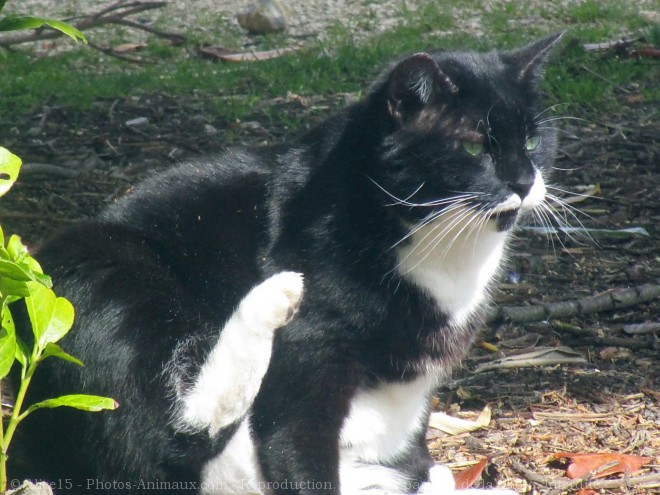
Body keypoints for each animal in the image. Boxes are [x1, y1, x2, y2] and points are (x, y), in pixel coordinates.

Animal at [11, 33, 564, 494]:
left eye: (532, 142)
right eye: (472, 145)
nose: (523, 181)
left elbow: (405, 450)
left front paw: (425, 477)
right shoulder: (311, 354)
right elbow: (296, 442)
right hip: (106, 282)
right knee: (169, 437)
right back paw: (271, 298)